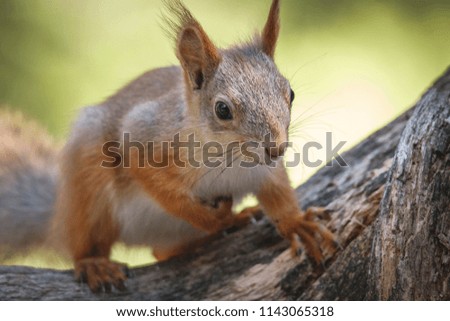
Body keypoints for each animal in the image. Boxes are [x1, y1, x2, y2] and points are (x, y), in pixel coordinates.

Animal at [0, 0, 334, 292]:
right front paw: (214, 219)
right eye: (222, 110)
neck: (231, 157)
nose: (276, 148)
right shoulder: (143, 137)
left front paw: (297, 223)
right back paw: (94, 263)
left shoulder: (265, 171)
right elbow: (165, 191)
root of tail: (59, 214)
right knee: (84, 241)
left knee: (161, 252)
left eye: (290, 93)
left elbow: (279, 195)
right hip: (90, 185)